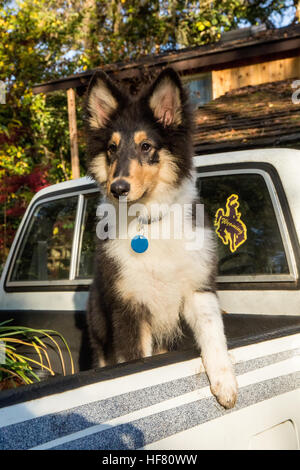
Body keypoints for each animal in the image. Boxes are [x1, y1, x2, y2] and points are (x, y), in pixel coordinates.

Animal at [84, 69, 237, 408]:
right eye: (112, 148)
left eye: (146, 146)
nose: (118, 189)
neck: (149, 222)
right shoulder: (128, 308)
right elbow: (137, 363)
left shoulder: (198, 289)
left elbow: (214, 334)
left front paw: (226, 385)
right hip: (99, 328)